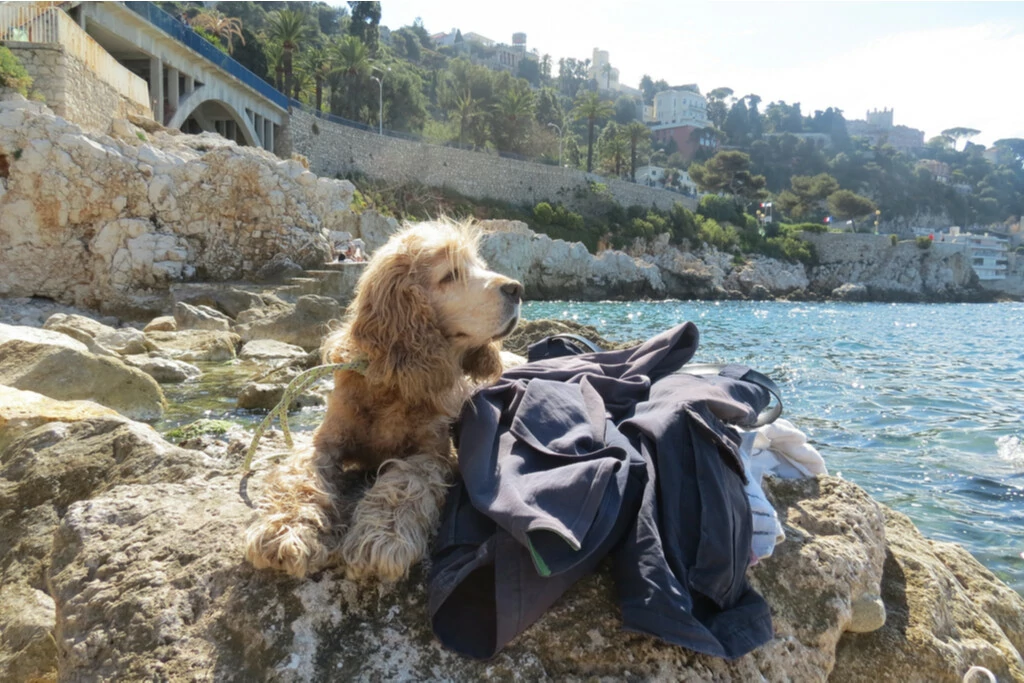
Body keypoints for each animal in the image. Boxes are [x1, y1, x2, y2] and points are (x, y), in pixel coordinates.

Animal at [243, 219, 524, 581]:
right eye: (450, 275)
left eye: (480, 266)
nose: (517, 289)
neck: (393, 383)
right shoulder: (323, 441)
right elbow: (299, 475)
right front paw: (284, 529)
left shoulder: (432, 452)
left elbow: (403, 482)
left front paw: (382, 537)